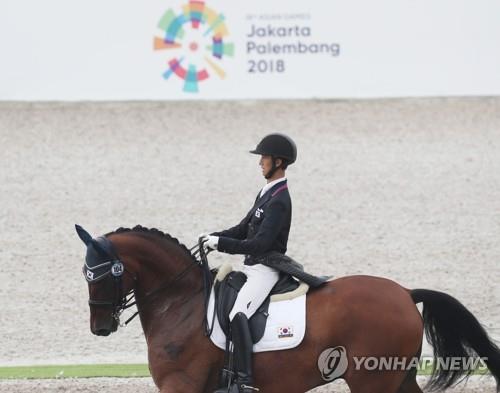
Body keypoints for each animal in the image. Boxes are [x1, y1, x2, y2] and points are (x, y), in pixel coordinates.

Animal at [75, 225, 500, 392]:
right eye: (85, 273)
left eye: (101, 275)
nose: (99, 326)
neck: (180, 303)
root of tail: (406, 292)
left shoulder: (180, 384)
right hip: (397, 376)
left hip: (372, 380)